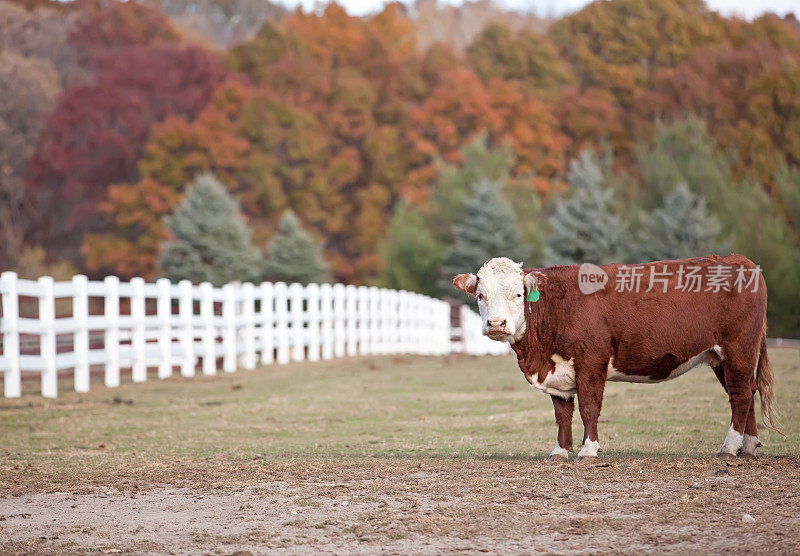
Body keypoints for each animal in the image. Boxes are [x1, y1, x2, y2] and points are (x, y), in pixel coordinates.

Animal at [456, 255, 776, 460]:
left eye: (519, 294)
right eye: (481, 295)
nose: (496, 324)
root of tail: (742, 261)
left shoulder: (591, 362)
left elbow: (588, 407)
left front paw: (588, 450)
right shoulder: (558, 370)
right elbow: (562, 413)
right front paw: (560, 451)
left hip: (738, 349)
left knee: (740, 395)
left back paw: (729, 448)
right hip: (722, 358)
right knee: (745, 392)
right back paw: (747, 447)